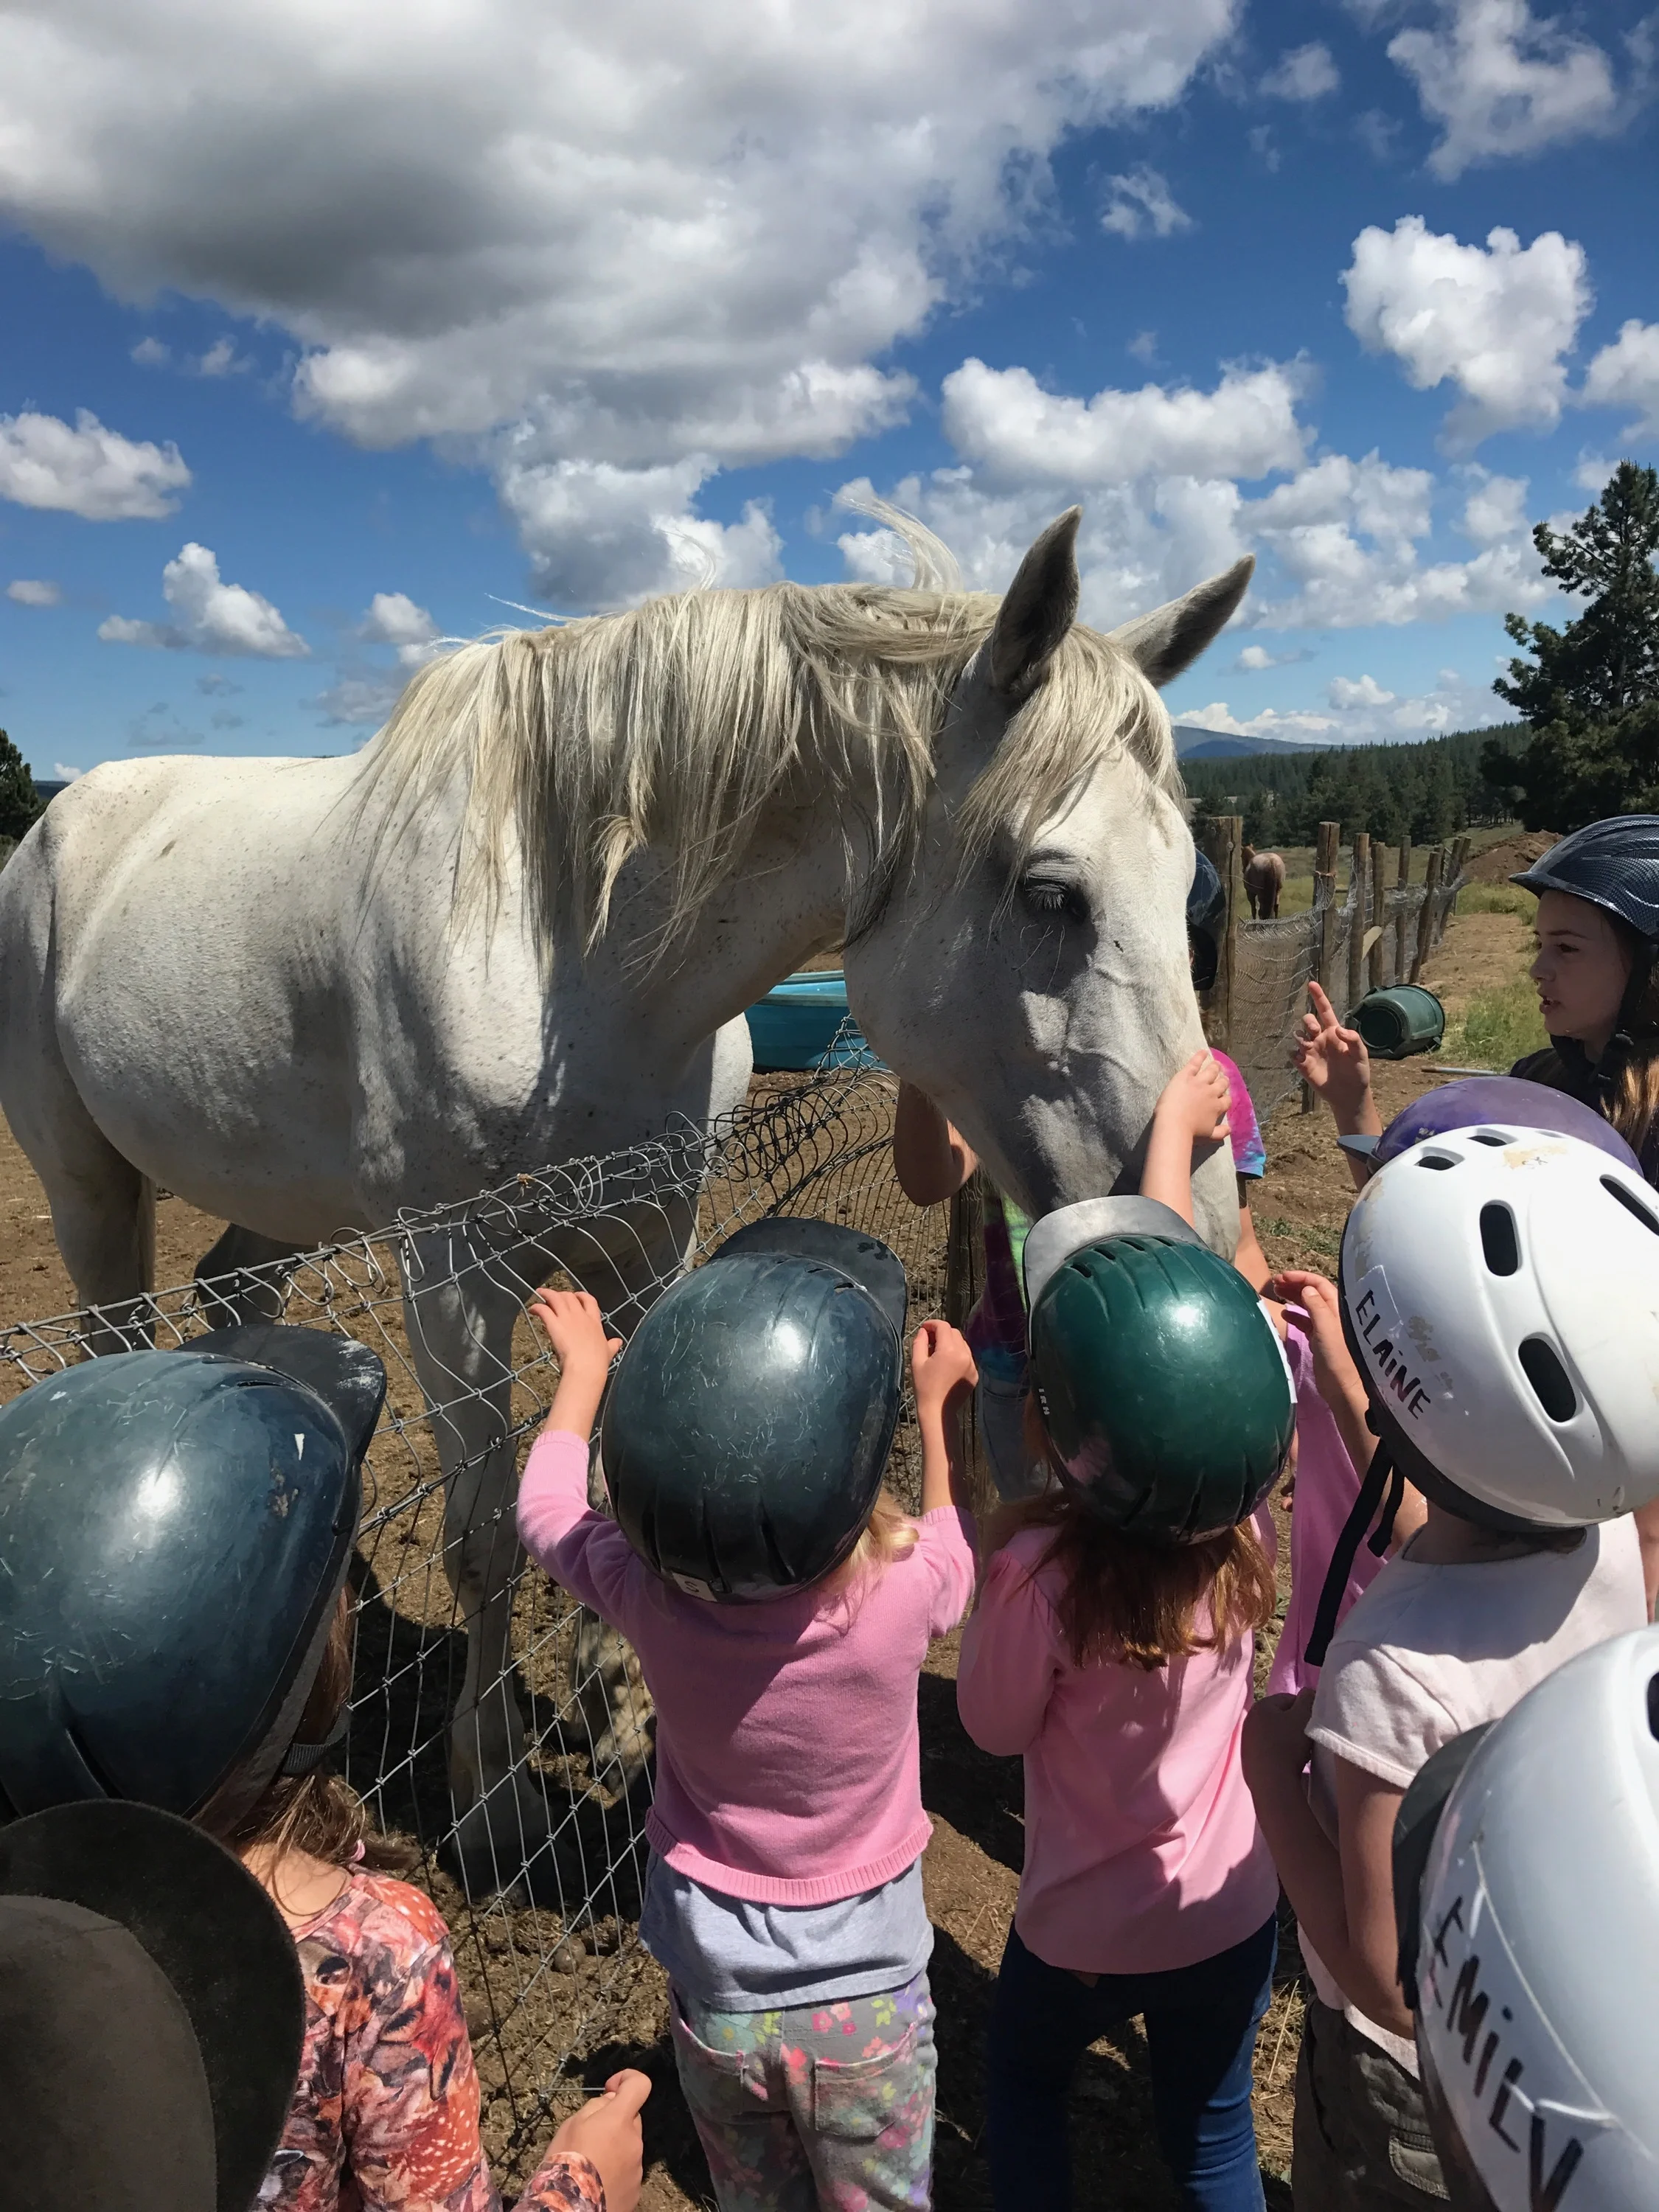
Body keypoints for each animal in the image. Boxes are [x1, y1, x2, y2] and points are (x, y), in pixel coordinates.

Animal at [0, 507, 1250, 1893]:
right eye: (1049, 891)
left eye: (1189, 884)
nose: (1196, 1226)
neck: (573, 947)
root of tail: (61, 821)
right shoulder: (451, 1280)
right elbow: (487, 1535)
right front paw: (494, 1804)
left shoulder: (653, 1236)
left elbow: (612, 1468)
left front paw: (620, 1712)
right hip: (89, 1187)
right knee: (115, 1332)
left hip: (274, 1194)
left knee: (233, 1293)